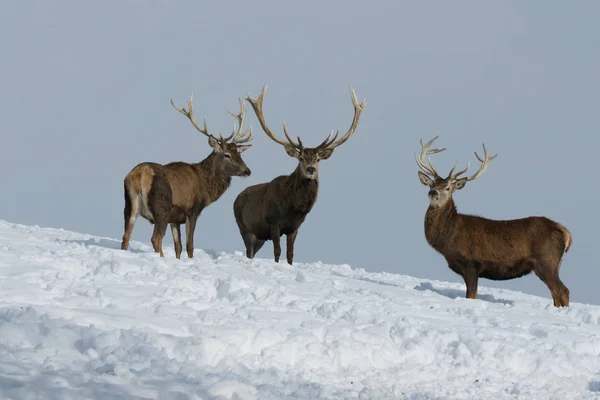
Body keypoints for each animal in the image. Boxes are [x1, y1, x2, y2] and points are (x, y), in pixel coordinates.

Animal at [119, 94, 253, 258]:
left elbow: (178, 246)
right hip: (161, 208)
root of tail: (140, 175)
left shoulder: (175, 219)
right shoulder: (192, 211)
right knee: (156, 238)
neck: (206, 188)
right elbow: (190, 246)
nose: (247, 171)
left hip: (129, 206)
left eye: (239, 153)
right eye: (227, 154)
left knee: (126, 236)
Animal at [233, 86, 366, 264]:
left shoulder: (294, 227)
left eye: (317, 159)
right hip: (244, 227)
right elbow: (277, 252)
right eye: (301, 158)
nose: (311, 169)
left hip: (259, 236)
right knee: (249, 251)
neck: (293, 208)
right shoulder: (273, 222)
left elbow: (290, 254)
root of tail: (236, 198)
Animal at [414, 136, 576, 308]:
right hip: (552, 264)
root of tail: (565, 232)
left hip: (546, 261)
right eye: (432, 184)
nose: (433, 193)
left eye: (448, 188)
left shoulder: (472, 263)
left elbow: (471, 296)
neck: (449, 238)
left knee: (562, 291)